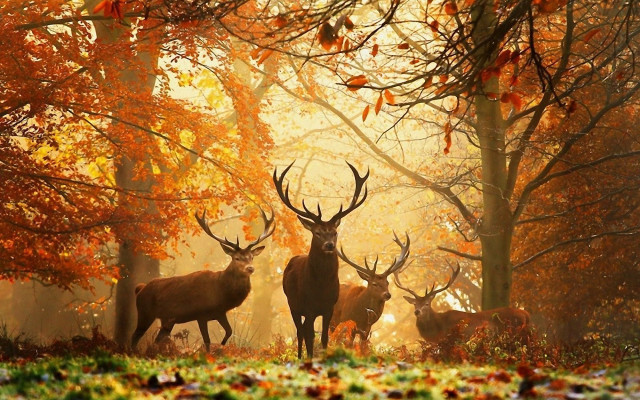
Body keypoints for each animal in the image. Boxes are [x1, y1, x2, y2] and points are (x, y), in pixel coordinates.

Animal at [130, 206, 275, 352]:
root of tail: (140, 289)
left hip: (167, 319)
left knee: (157, 339)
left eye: (252, 257)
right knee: (135, 336)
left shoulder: (220, 312)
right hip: (145, 312)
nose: (250, 268)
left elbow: (229, 331)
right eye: (237, 258)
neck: (221, 293)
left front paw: (221, 347)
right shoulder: (201, 314)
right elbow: (207, 340)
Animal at [273, 161, 369, 359]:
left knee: (303, 331)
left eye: (335, 232)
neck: (321, 287)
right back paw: (300, 357)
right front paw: (309, 358)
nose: (329, 245)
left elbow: (324, 337)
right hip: (292, 303)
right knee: (300, 332)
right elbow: (309, 336)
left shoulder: (329, 307)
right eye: (317, 232)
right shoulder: (308, 307)